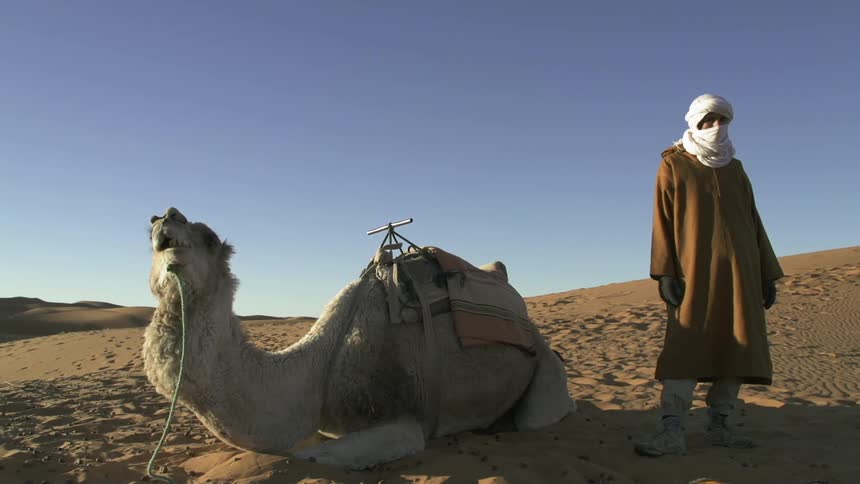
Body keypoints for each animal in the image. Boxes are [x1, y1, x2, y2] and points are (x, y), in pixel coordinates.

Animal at [143, 207, 574, 469]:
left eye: (209, 237)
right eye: (150, 228)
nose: (165, 216)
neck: (316, 371)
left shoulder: (402, 423)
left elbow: (310, 458)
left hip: (543, 367)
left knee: (539, 416)